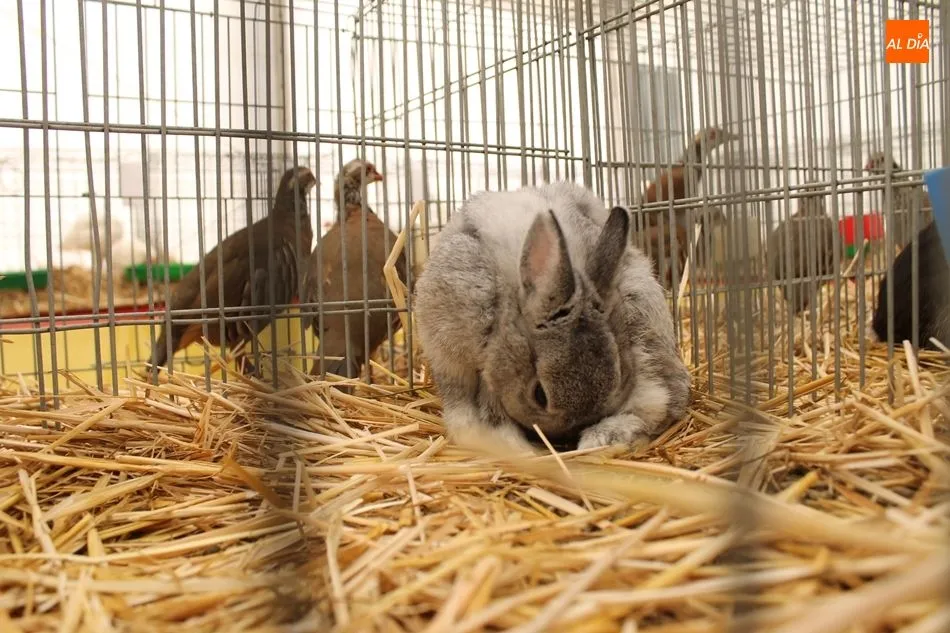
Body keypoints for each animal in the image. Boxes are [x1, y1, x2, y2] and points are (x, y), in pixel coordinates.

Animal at [413, 181, 692, 454]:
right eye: (540, 394)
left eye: (620, 374)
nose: (565, 438)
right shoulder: (457, 363)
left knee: (658, 400)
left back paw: (604, 439)